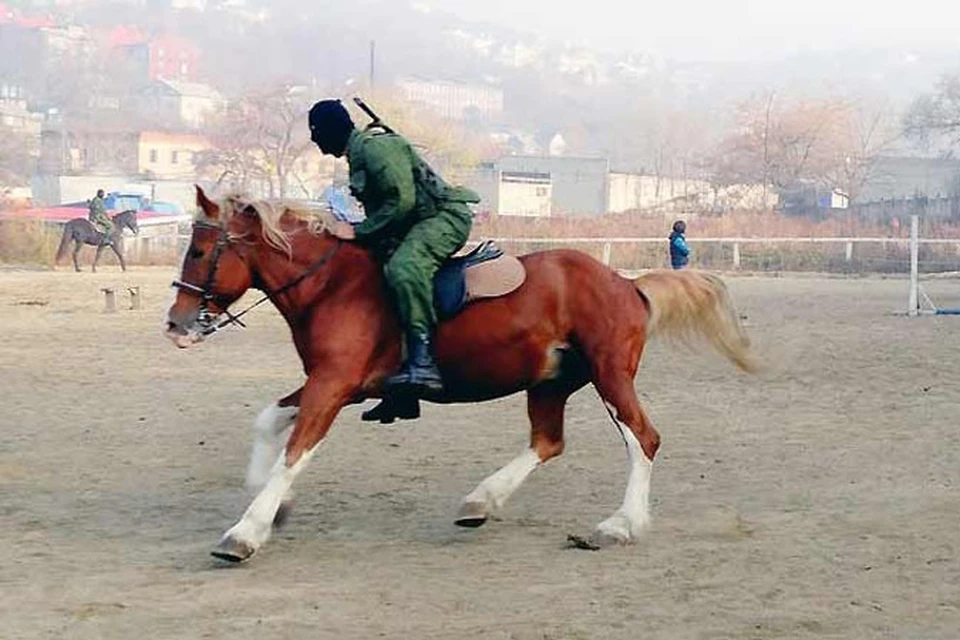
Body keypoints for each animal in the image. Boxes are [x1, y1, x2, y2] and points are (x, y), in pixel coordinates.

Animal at [169, 188, 760, 564]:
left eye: (199, 250)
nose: (175, 323)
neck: (331, 285)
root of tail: (628, 284)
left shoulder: (332, 385)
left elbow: (294, 454)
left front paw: (246, 531)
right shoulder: (332, 384)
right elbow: (269, 422)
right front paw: (273, 503)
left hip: (610, 376)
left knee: (643, 438)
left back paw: (620, 524)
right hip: (549, 382)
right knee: (548, 442)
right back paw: (481, 501)